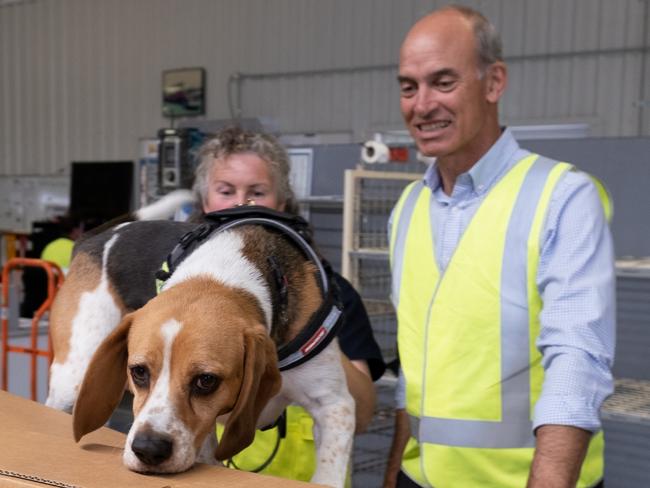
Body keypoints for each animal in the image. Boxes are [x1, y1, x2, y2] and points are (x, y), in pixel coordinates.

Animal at [45, 212, 354, 486]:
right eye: (138, 372)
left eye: (206, 381)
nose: (148, 449)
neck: (221, 275)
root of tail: (95, 238)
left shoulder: (335, 406)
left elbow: (329, 472)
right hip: (72, 380)